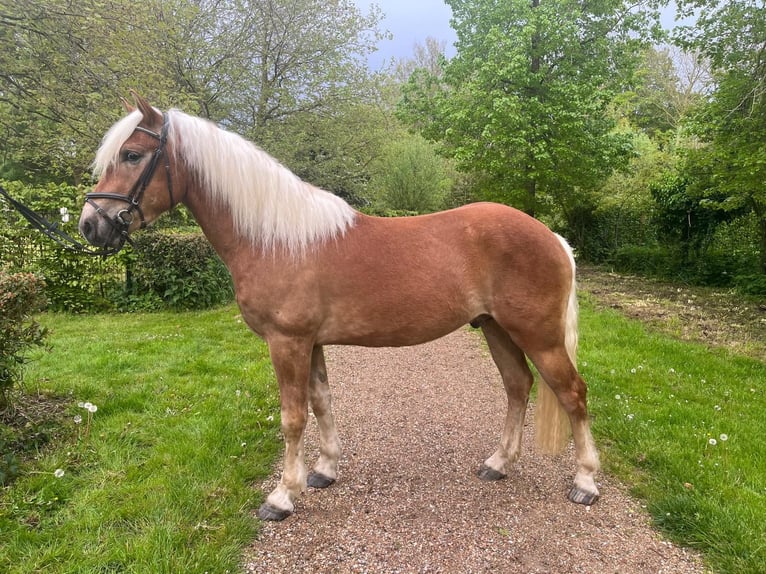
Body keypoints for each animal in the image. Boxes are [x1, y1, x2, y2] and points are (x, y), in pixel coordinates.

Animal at [79, 93, 608, 520]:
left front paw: (282, 496)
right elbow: (321, 402)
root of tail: (553, 237)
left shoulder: (287, 342)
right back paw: (498, 463)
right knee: (518, 386)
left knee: (572, 393)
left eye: (132, 154)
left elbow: (292, 417)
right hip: (496, 328)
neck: (276, 240)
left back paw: (584, 482)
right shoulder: (309, 343)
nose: (90, 224)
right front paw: (324, 471)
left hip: (539, 335)